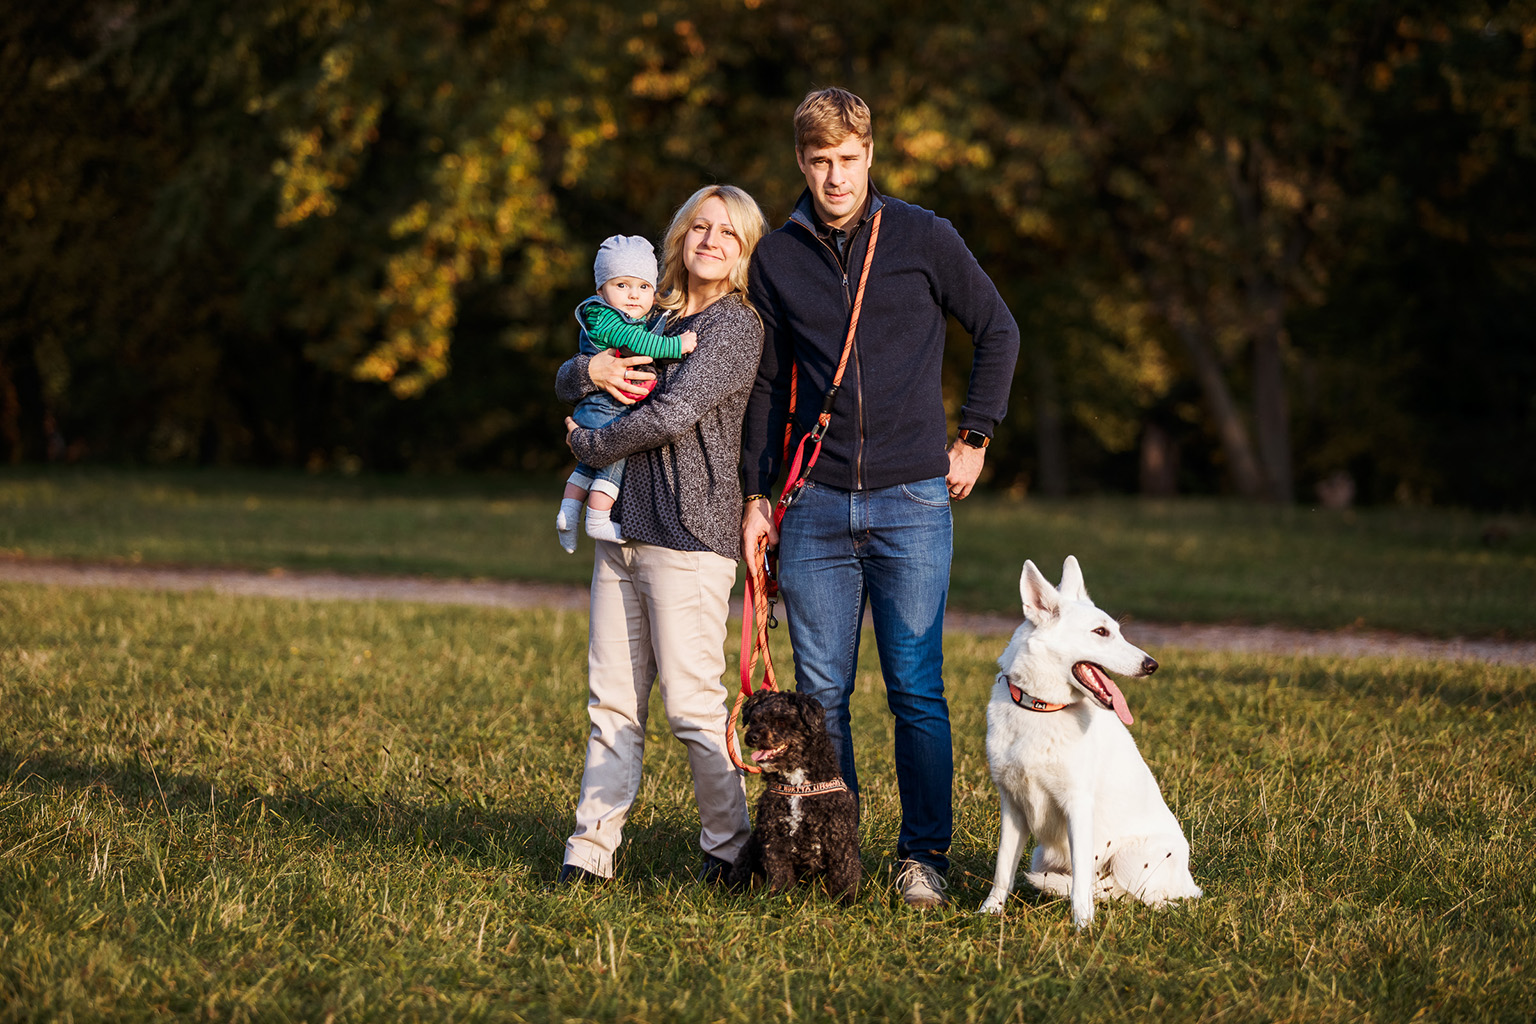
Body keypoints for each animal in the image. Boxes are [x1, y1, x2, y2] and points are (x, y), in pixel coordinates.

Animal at [724, 693, 860, 902]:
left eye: (781, 721)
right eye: (754, 720)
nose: (752, 736)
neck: (798, 785)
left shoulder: (841, 838)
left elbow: (845, 875)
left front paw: (846, 902)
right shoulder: (775, 840)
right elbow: (780, 875)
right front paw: (782, 900)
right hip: (747, 854)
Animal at [976, 555, 1204, 933]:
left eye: (1117, 631)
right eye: (1101, 633)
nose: (1152, 665)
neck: (1042, 708)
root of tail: (1189, 883)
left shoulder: (1077, 807)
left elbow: (1080, 882)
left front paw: (1083, 925)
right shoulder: (1012, 808)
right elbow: (1002, 871)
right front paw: (989, 912)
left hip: (1130, 859)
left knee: (1146, 898)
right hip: (1041, 854)